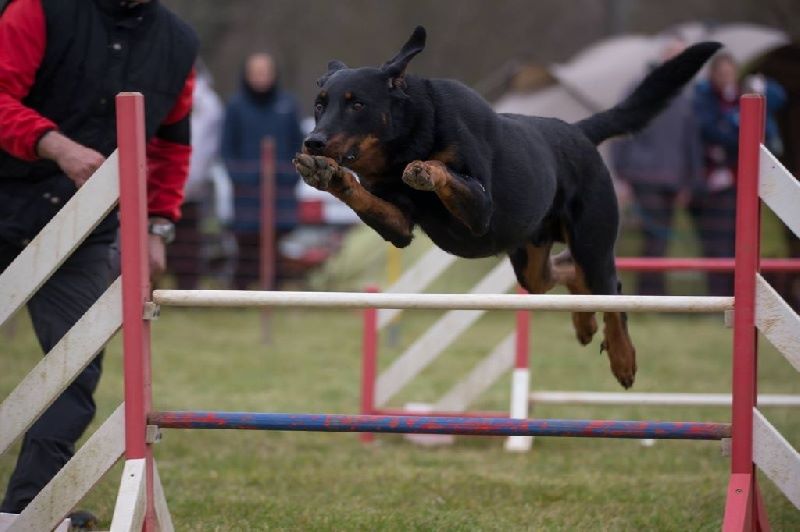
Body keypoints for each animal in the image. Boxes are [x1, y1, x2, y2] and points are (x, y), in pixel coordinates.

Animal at [296, 27, 720, 386]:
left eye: (356, 104)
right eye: (320, 105)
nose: (314, 141)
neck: (405, 138)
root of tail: (579, 131)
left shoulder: (480, 209)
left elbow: (445, 170)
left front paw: (424, 169)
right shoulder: (398, 225)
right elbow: (366, 197)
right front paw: (329, 175)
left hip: (594, 242)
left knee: (612, 293)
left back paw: (623, 358)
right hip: (531, 261)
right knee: (565, 271)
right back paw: (584, 322)